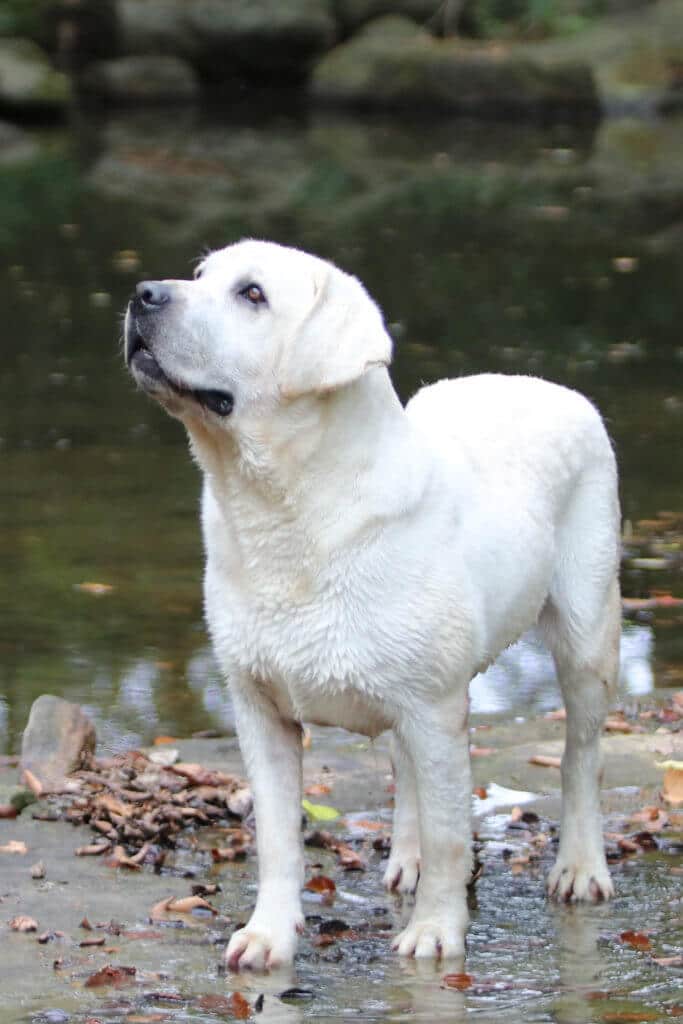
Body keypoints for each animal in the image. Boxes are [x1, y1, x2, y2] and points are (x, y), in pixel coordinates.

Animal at [122, 237, 618, 966]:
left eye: (252, 294)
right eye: (200, 275)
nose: (142, 294)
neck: (288, 509)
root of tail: (541, 381)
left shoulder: (434, 706)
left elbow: (450, 834)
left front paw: (435, 932)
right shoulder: (258, 707)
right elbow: (276, 837)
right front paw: (268, 936)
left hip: (586, 628)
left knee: (580, 754)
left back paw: (580, 868)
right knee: (405, 767)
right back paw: (405, 858)